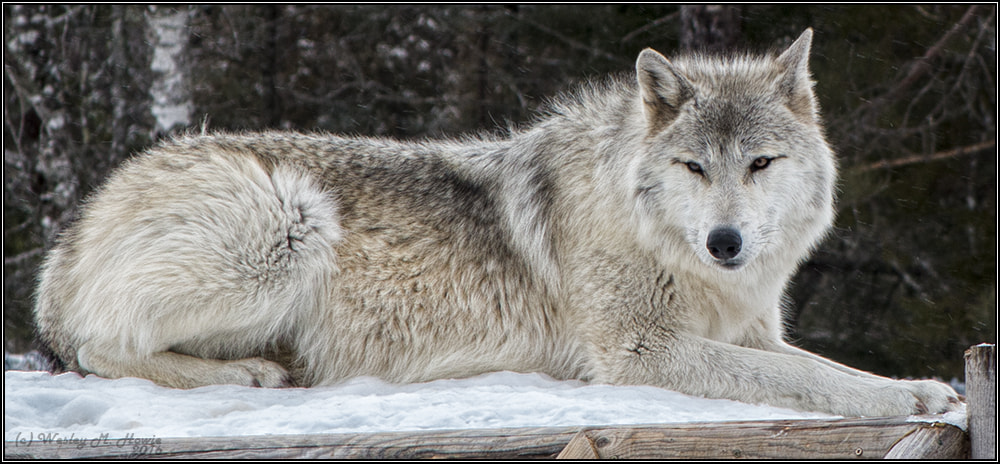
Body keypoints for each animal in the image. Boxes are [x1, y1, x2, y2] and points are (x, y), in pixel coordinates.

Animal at [35, 29, 959, 417]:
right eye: (695, 168)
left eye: (760, 164)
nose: (724, 242)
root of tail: (80, 221)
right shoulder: (639, 354)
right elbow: (815, 382)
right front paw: (901, 399)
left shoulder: (749, 334)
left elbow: (821, 366)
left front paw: (917, 386)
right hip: (288, 224)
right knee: (99, 348)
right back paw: (253, 376)